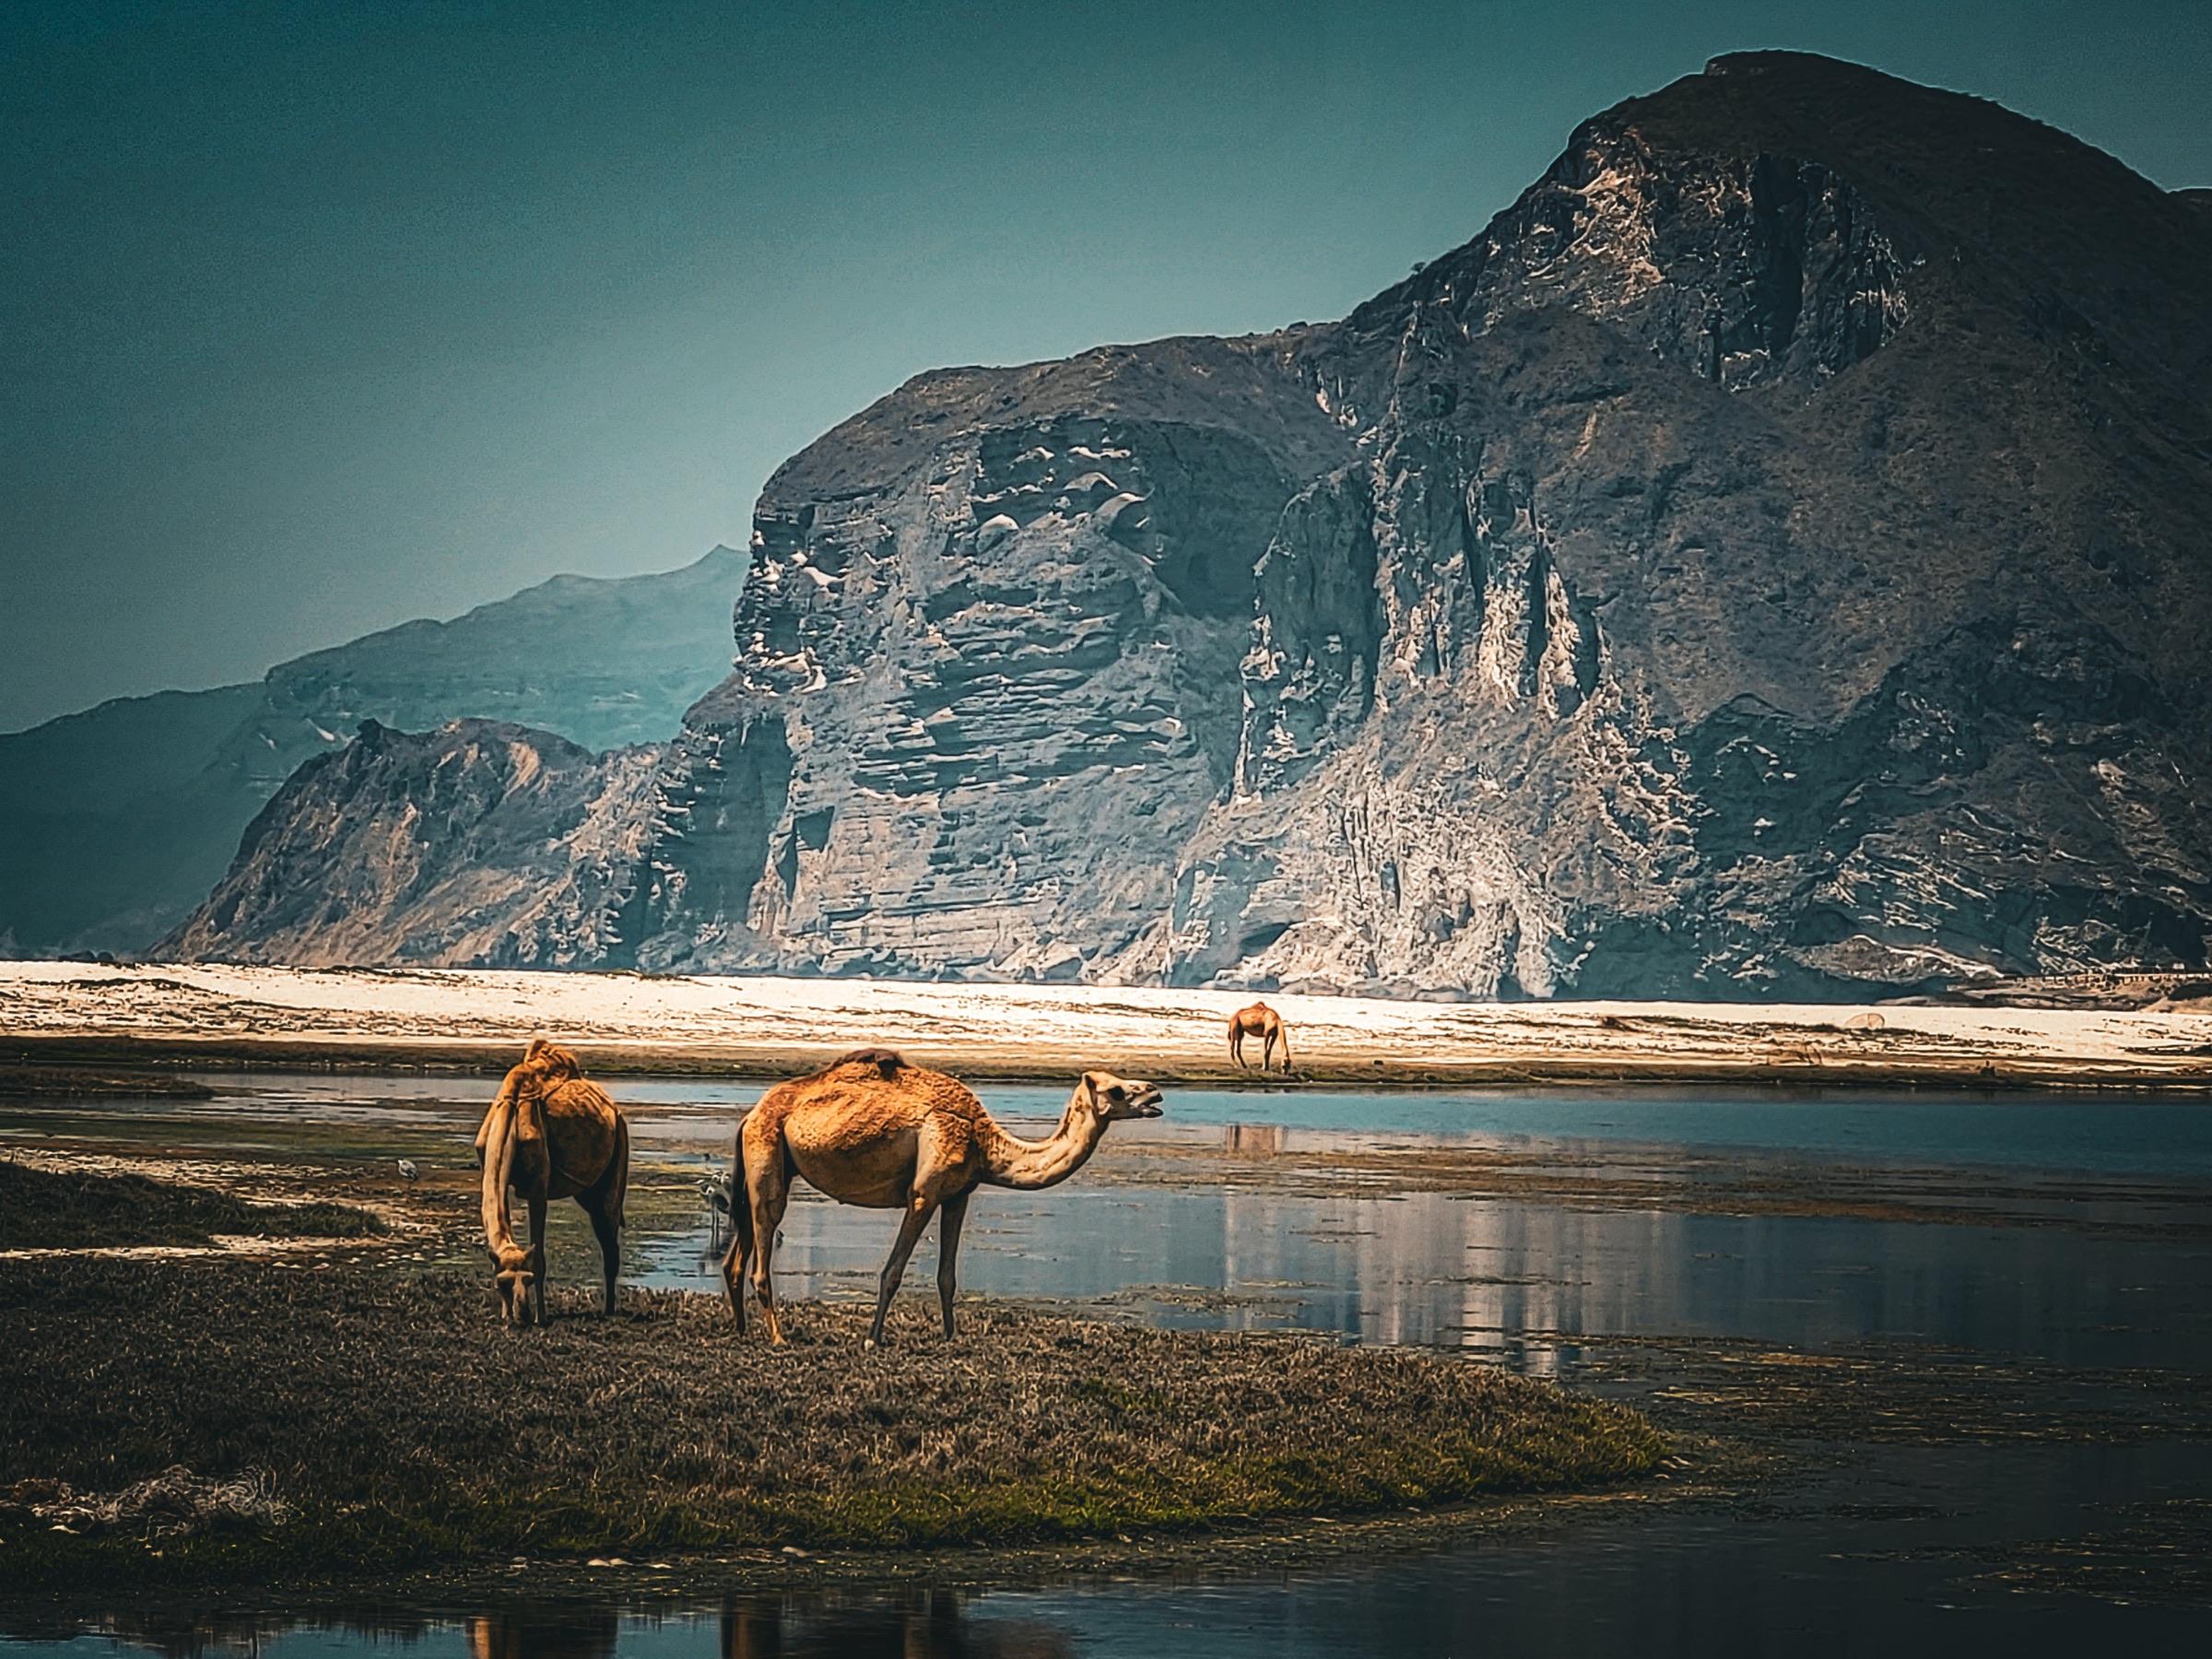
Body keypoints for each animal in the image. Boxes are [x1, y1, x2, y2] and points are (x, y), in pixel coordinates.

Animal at [473, 1038, 630, 1326]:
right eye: (502, 1283)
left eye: (528, 1280)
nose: (522, 1314)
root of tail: (612, 1106)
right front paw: (505, 1315)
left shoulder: (538, 1186)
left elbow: (540, 1259)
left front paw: (542, 1318)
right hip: (587, 1191)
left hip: (619, 1150)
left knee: (610, 1237)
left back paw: (609, 1310)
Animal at [720, 1048, 1163, 1347]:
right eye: (1118, 1090)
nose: (1156, 1095)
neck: (982, 1143)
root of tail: (749, 1116)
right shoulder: (923, 1192)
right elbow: (892, 1272)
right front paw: (872, 1339)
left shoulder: (958, 1195)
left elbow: (947, 1277)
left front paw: (951, 1337)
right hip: (767, 1156)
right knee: (762, 1248)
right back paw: (778, 1338)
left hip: (767, 1168)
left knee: (735, 1256)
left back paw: (741, 1330)